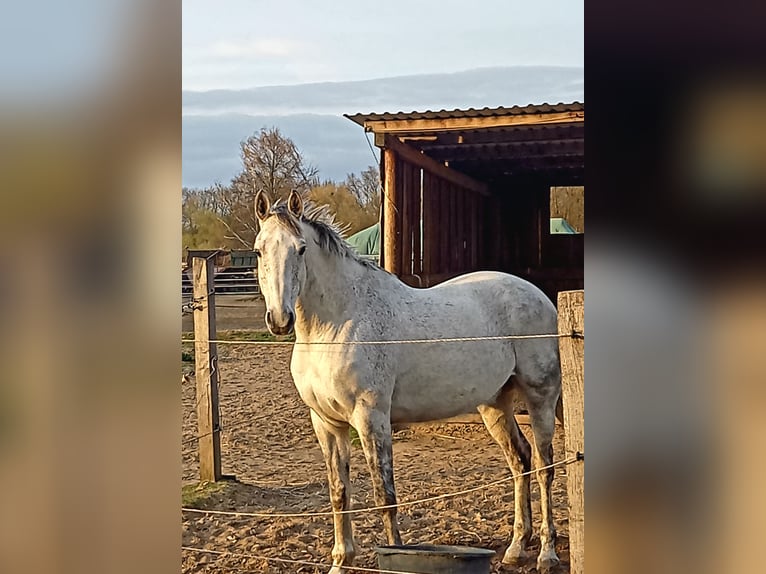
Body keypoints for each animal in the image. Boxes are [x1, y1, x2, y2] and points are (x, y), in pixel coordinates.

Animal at [253, 190, 562, 574]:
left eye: (300, 249)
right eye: (259, 251)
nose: (280, 319)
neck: (335, 324)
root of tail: (538, 295)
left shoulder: (370, 418)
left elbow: (384, 494)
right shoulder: (326, 423)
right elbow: (339, 491)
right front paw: (341, 561)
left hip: (540, 397)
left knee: (545, 466)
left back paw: (547, 554)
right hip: (495, 404)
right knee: (520, 462)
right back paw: (517, 547)